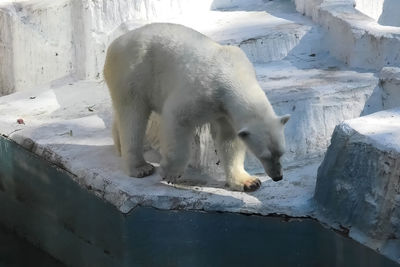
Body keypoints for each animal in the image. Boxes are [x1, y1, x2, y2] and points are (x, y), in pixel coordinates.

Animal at [104, 22, 290, 192]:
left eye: (281, 153)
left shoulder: (224, 111)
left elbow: (228, 139)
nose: (278, 177)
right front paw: (169, 173)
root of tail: (115, 43)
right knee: (133, 117)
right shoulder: (202, 92)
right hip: (133, 72)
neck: (232, 74)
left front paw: (249, 182)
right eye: (263, 155)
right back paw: (140, 167)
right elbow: (176, 118)